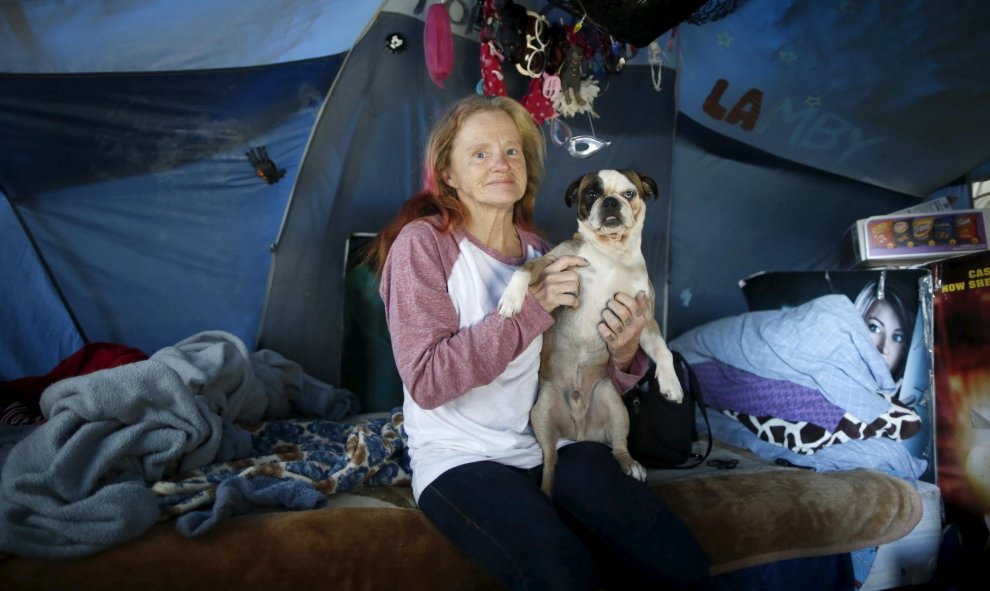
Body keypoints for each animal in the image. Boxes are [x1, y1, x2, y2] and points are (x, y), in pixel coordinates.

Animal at [500, 170, 684, 494]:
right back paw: (546, 492)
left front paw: (671, 384)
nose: (610, 201)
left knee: (619, 447)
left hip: (615, 405)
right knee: (550, 462)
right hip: (542, 412)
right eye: (591, 194)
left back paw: (632, 466)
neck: (612, 253)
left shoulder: (643, 317)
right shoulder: (551, 262)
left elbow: (663, 349)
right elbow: (525, 268)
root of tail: (580, 429)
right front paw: (512, 299)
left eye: (629, 193)